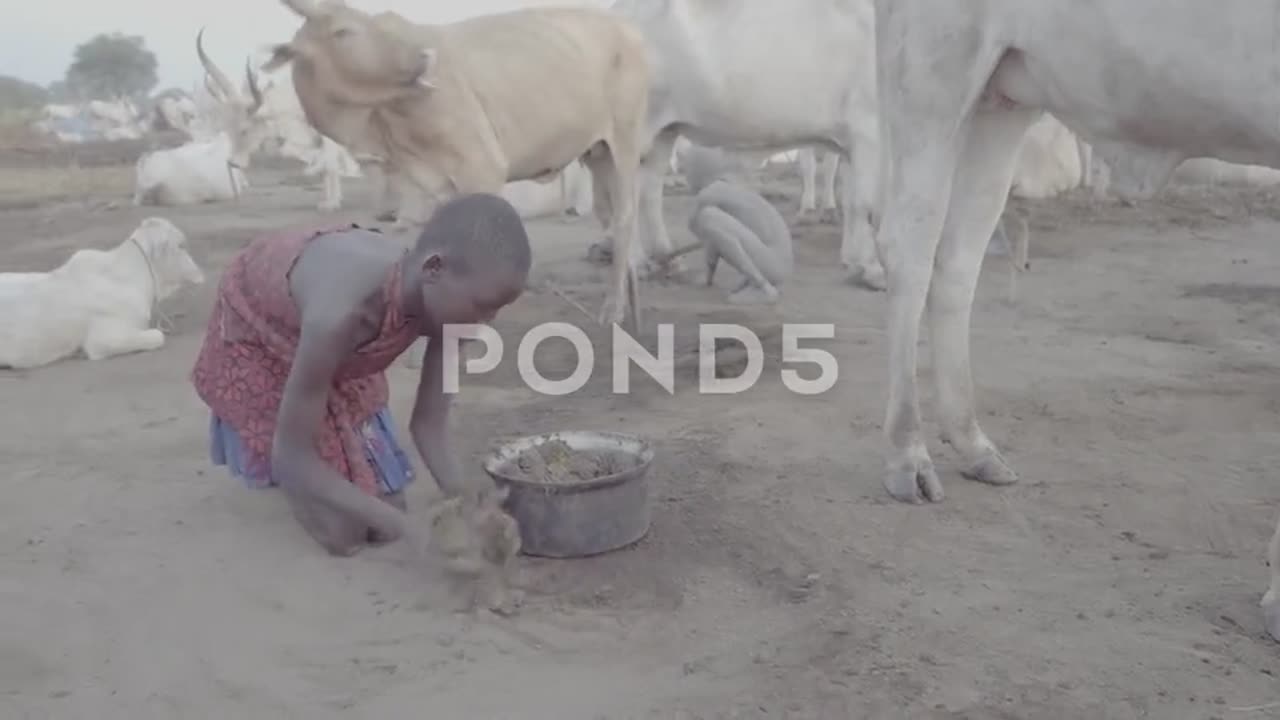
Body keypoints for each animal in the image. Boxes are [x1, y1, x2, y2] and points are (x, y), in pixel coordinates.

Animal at [258, 0, 650, 325]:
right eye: (343, 32)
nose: (423, 56)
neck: (380, 123)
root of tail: (624, 26)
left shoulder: (483, 169)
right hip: (596, 152)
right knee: (609, 213)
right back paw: (630, 298)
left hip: (624, 141)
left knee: (625, 217)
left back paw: (614, 308)